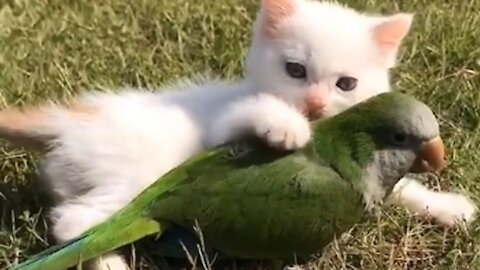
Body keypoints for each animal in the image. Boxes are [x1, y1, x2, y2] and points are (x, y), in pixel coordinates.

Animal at [1, 0, 470, 270]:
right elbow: (258, 118)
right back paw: (111, 262)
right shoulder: (227, 121)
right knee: (76, 224)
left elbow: (403, 190)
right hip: (132, 178)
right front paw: (287, 130)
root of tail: (73, 120)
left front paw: (447, 207)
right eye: (294, 70)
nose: (314, 106)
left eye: (346, 84)